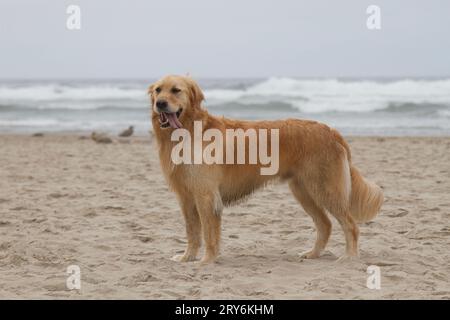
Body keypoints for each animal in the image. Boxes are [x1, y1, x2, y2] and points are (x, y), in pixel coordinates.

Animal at [149, 75, 384, 264]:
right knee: (325, 224)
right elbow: (192, 232)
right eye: (158, 90)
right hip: (303, 191)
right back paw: (312, 254)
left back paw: (349, 257)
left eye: (176, 90)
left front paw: (206, 260)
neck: (189, 130)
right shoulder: (186, 197)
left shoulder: (206, 195)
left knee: (350, 225)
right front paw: (187, 257)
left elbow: (208, 233)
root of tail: (331, 131)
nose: (160, 104)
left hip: (326, 190)